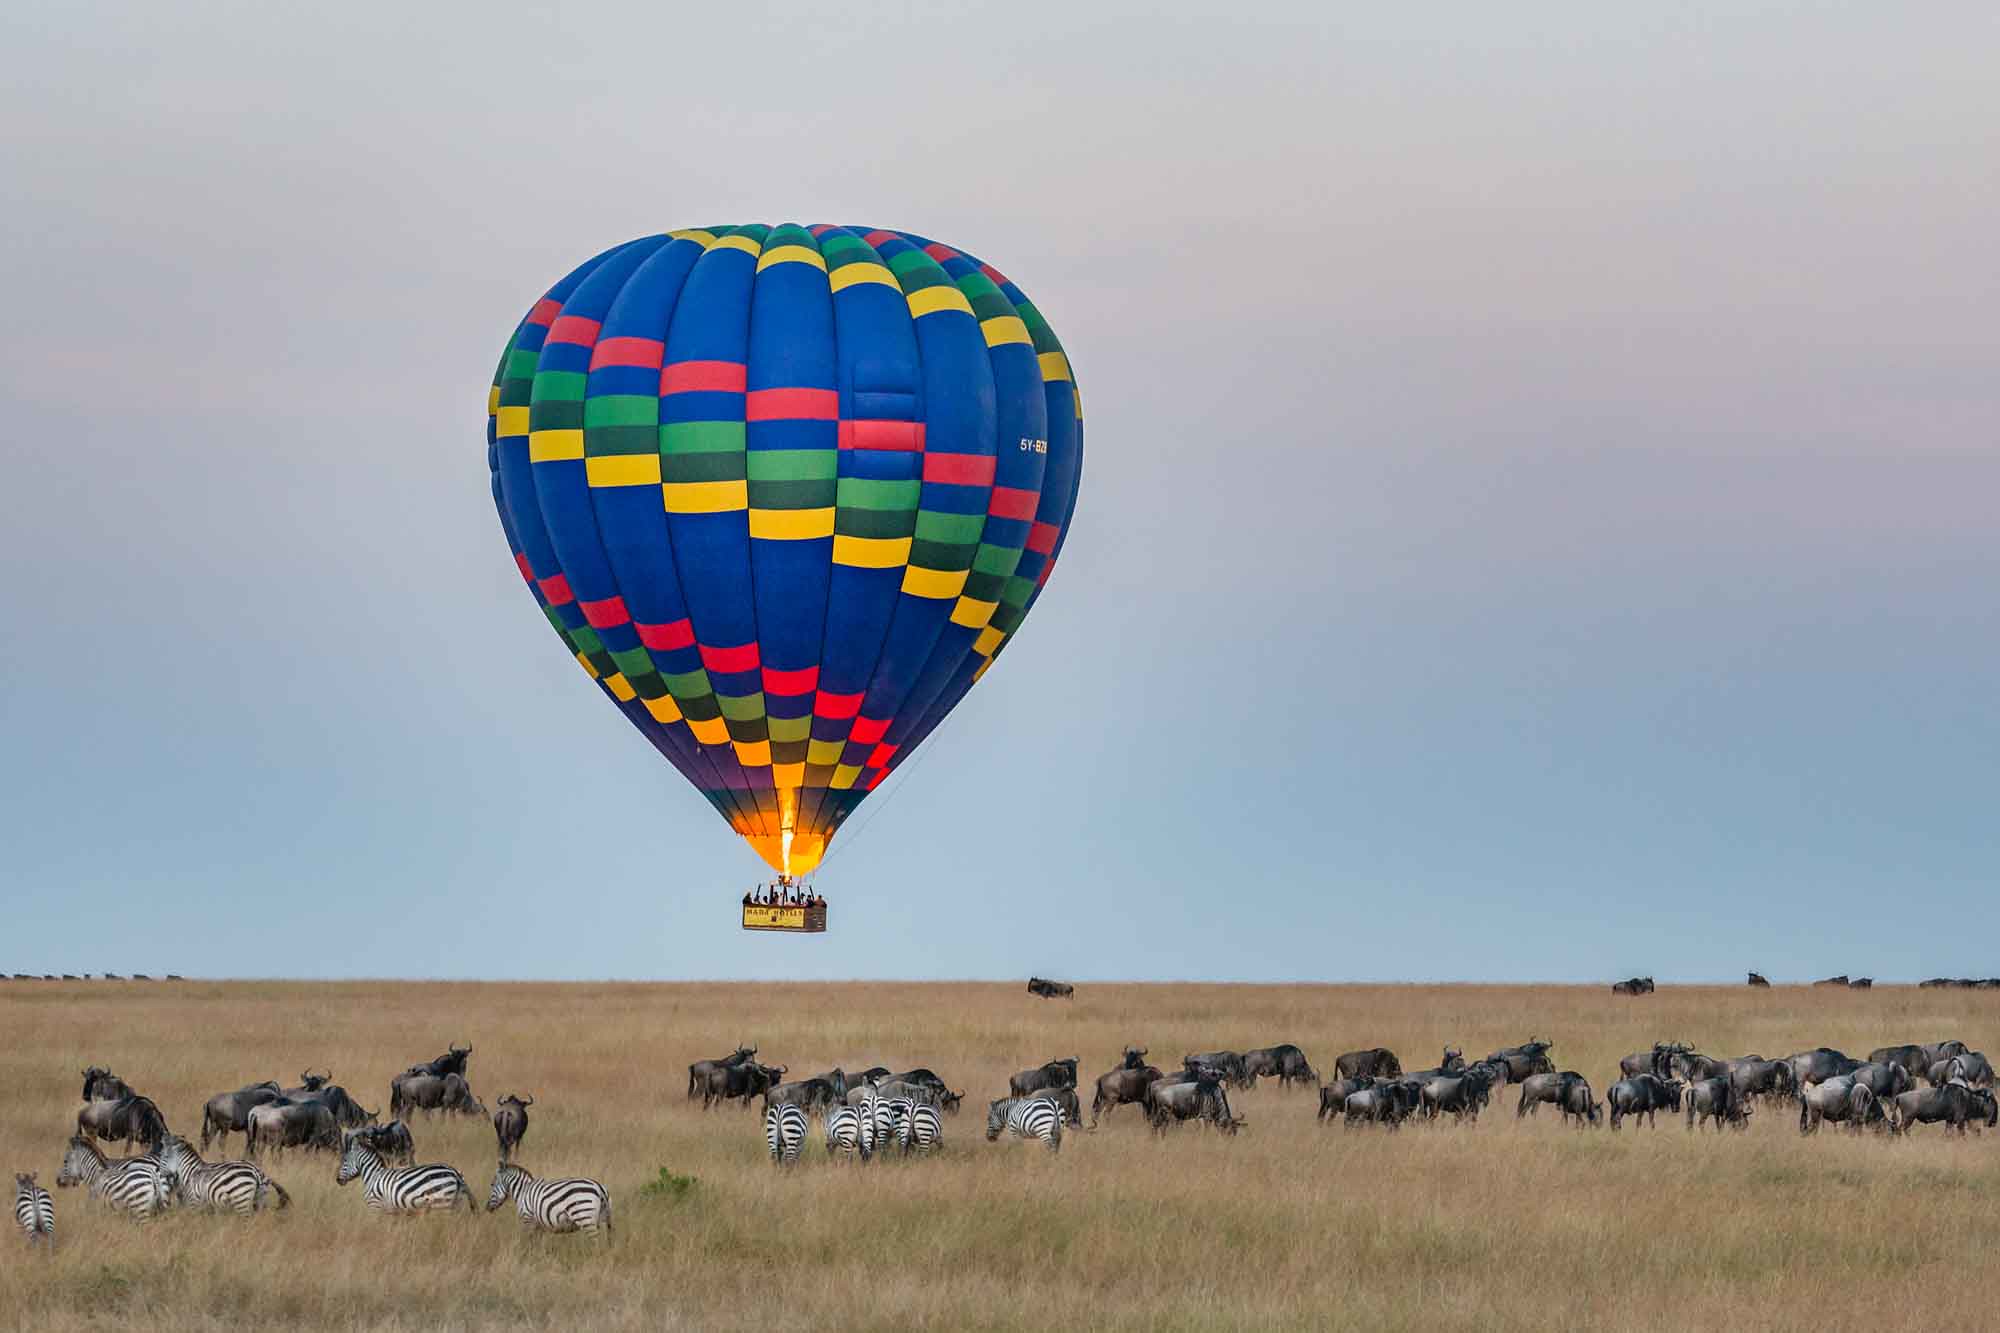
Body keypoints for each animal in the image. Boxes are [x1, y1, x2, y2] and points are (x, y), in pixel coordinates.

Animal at [155, 1128, 290, 1208]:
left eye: (164, 1156)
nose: (160, 1172)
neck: (190, 1172)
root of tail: (257, 1172)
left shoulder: (194, 1202)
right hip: (259, 1199)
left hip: (241, 1199)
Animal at [340, 1128, 476, 1208]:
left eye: (344, 1161)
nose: (337, 1180)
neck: (373, 1175)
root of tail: (454, 1172)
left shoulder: (375, 1205)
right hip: (456, 1202)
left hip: (442, 1201)